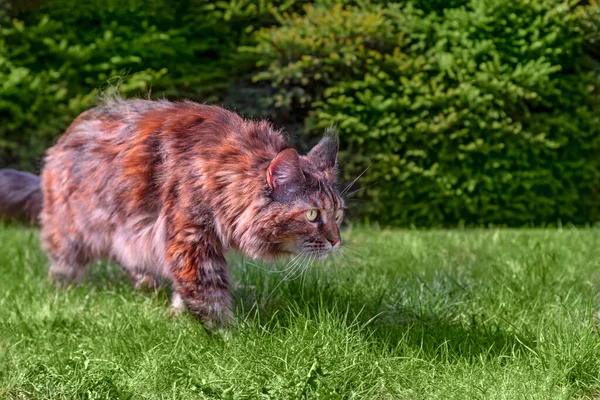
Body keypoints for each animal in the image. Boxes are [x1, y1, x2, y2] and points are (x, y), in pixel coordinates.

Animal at [30, 98, 344, 330]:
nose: (336, 241)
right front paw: (232, 336)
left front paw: (177, 316)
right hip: (74, 228)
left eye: (338, 214)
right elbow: (208, 297)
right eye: (313, 214)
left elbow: (186, 289)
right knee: (63, 263)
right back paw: (63, 292)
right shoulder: (191, 240)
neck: (222, 174)